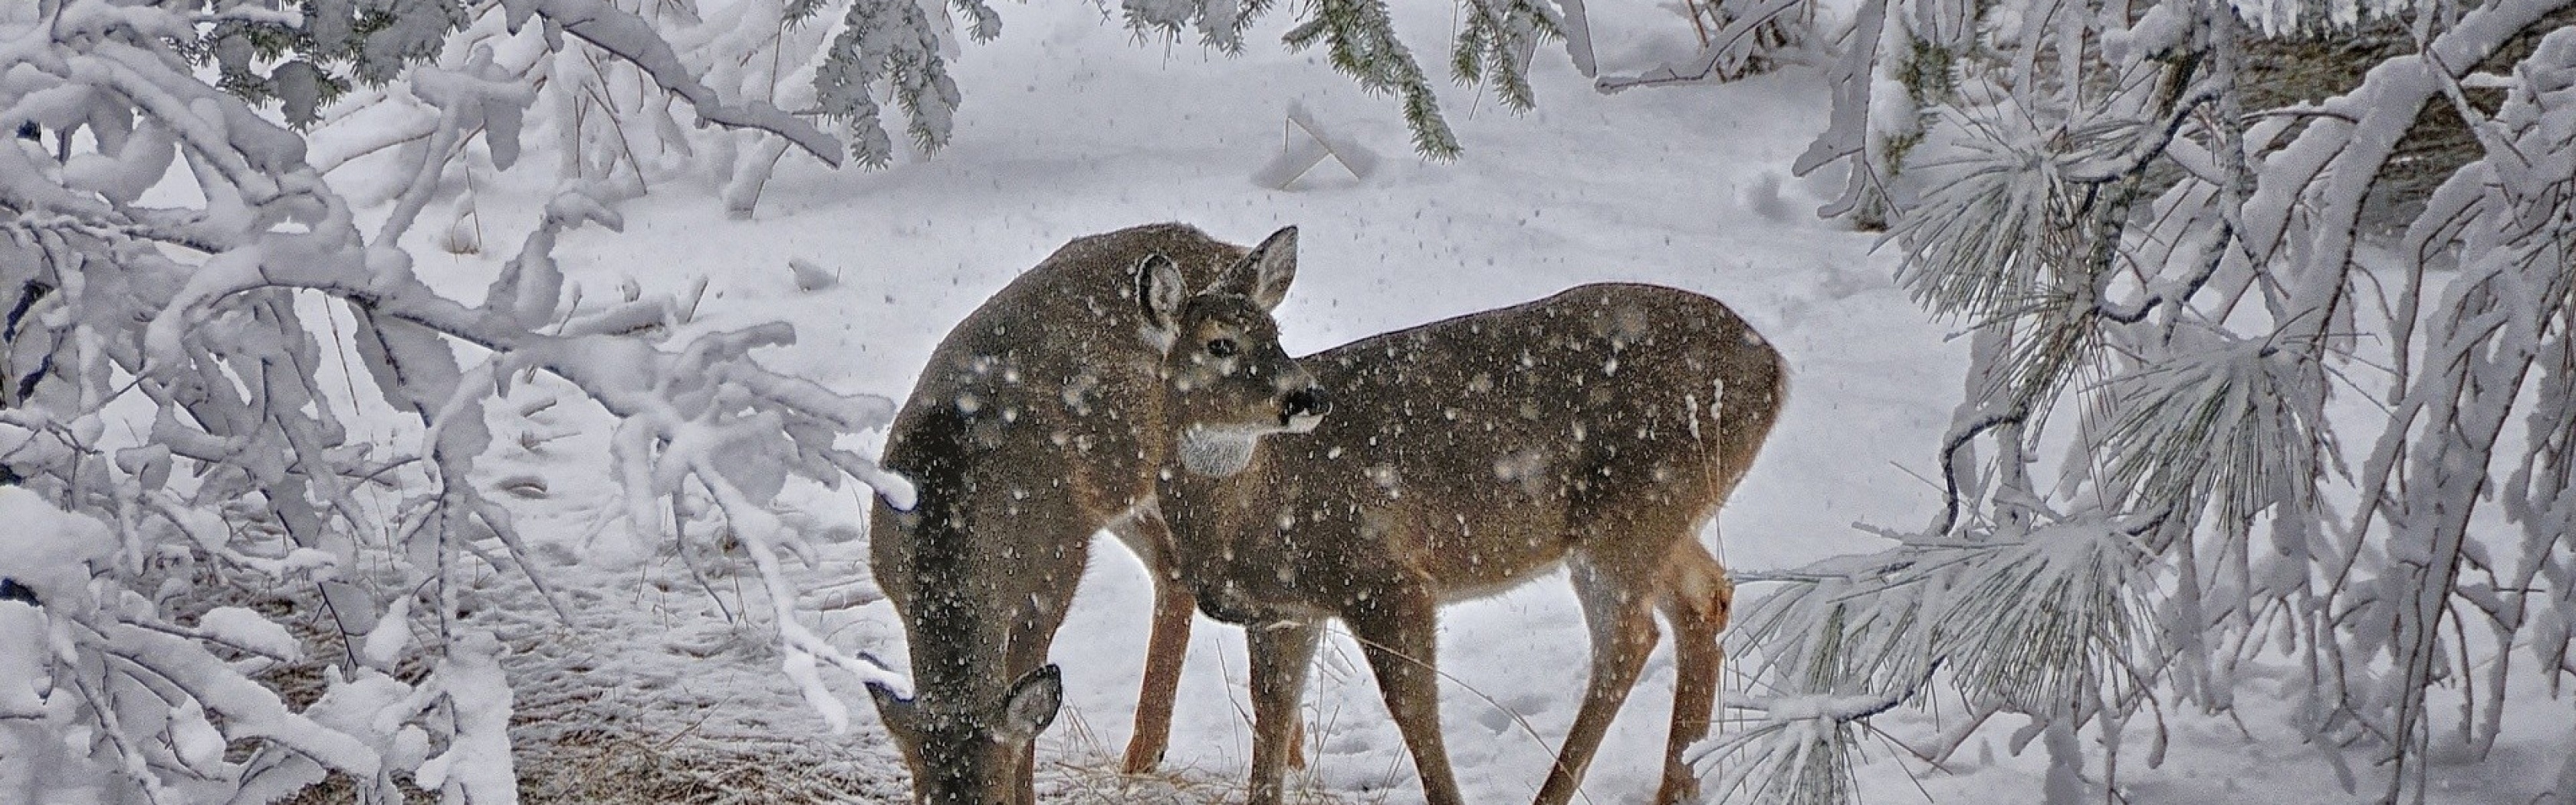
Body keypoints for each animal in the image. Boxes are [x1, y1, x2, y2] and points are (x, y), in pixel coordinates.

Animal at [865, 224, 1329, 805]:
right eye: (922, 795)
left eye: (992, 791)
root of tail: (1223, 250)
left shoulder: (1054, 570)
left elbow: (1026, 714)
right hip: (1122, 492)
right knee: (1172, 569)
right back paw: (1149, 754)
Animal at [1154, 281, 1783, 805]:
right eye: (1219, 344)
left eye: (1275, 334)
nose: (1308, 398)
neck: (1248, 506)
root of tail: (1776, 369)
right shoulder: (1284, 612)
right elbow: (1272, 713)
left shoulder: (1384, 575)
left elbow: (1413, 707)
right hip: (1665, 518)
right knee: (1706, 598)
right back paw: (1677, 787)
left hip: (1630, 515)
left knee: (1629, 638)